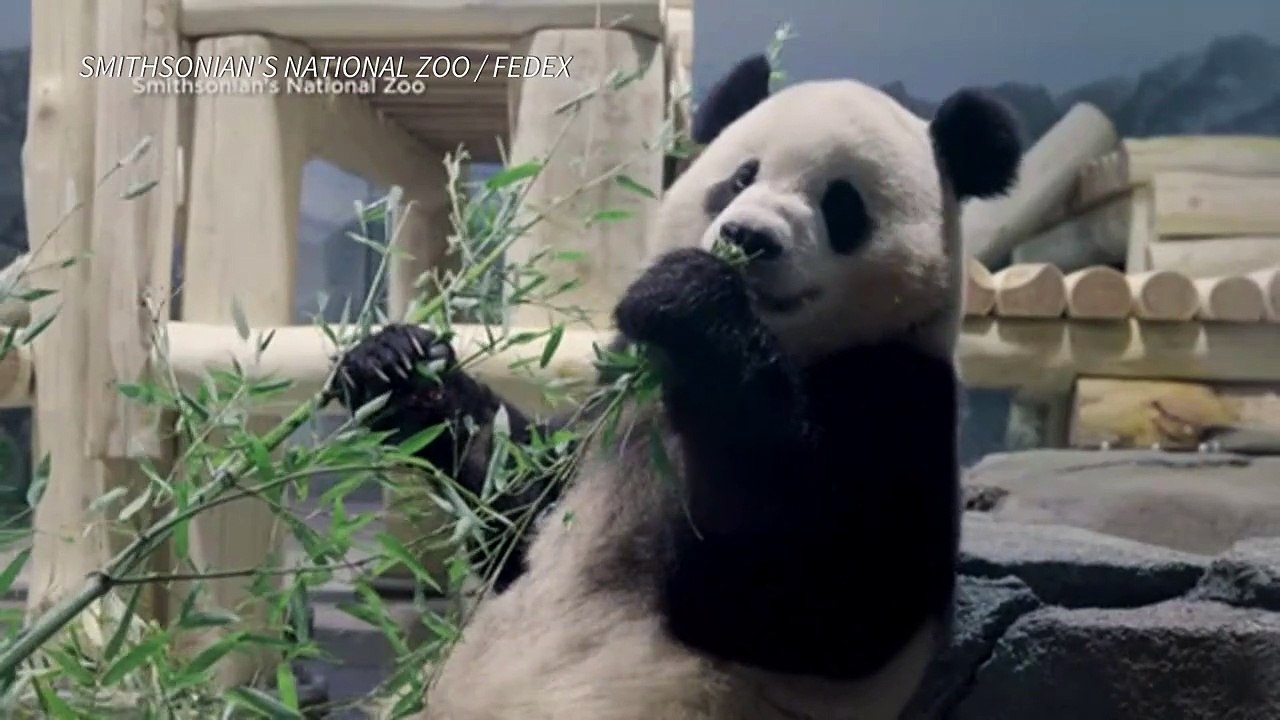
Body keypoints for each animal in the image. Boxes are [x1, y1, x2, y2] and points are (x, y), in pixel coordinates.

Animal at [332, 52, 1021, 720]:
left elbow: (808, 599)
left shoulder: (899, 393)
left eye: (841, 205)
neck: (787, 345)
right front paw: (397, 366)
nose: (748, 237)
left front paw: (690, 300)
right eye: (741, 177)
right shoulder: (614, 403)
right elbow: (516, 504)